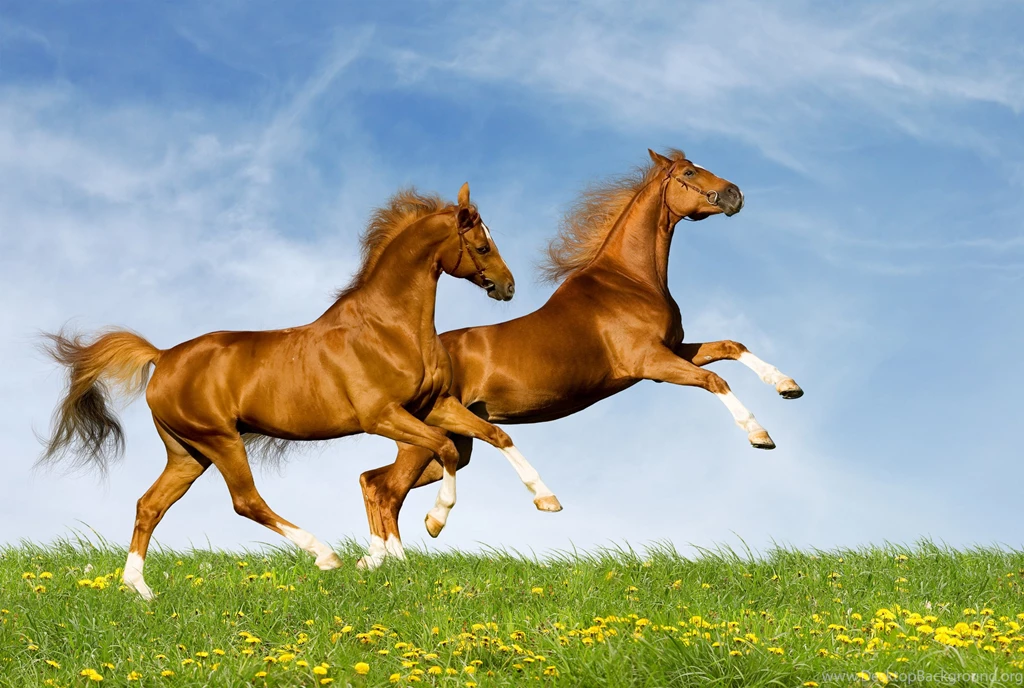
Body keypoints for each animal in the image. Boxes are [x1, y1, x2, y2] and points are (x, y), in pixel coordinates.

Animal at [38, 183, 560, 599]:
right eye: (482, 245)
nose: (508, 287)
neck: (389, 327)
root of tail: (163, 356)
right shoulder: (382, 415)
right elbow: (444, 451)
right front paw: (430, 525)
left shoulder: (433, 406)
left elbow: (496, 436)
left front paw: (546, 500)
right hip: (220, 440)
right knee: (246, 501)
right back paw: (324, 554)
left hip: (187, 452)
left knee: (150, 506)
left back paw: (139, 589)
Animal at [356, 150, 803, 568]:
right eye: (690, 172)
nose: (735, 194)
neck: (630, 281)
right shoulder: (652, 363)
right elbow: (715, 381)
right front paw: (759, 435)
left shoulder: (675, 349)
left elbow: (732, 347)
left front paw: (787, 385)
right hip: (426, 441)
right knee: (386, 490)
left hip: (452, 444)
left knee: (373, 481)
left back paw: (374, 558)